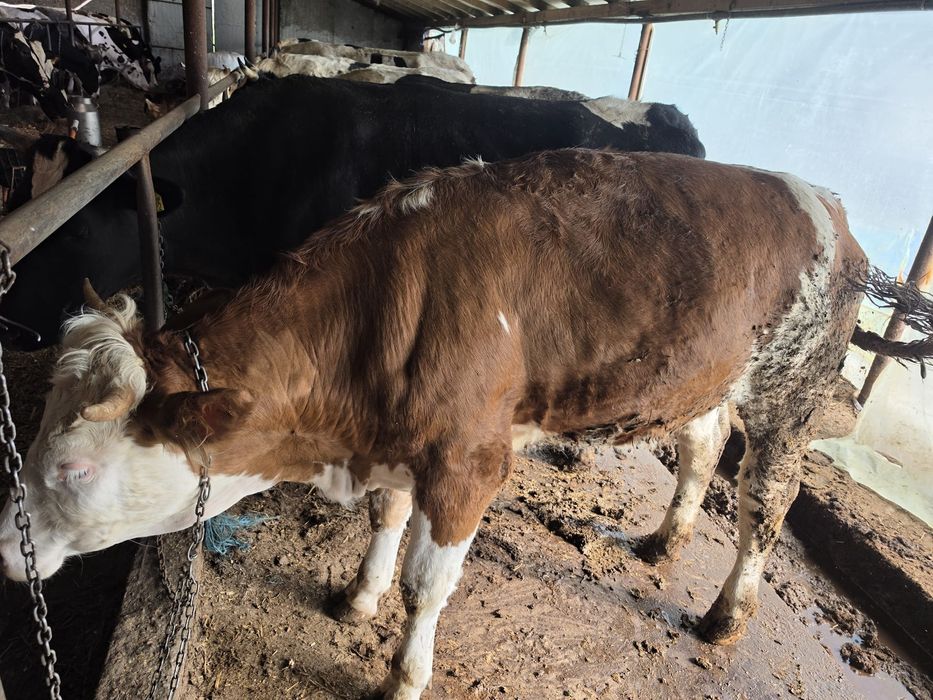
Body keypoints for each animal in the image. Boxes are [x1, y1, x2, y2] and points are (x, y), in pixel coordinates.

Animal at [2, 149, 924, 699]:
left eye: (73, 469)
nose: (6, 550)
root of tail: (827, 202)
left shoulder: (469, 462)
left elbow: (427, 583)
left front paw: (404, 675)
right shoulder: (393, 451)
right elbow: (384, 517)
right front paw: (358, 595)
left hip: (791, 390)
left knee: (766, 501)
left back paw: (726, 614)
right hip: (703, 379)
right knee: (701, 448)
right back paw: (664, 540)